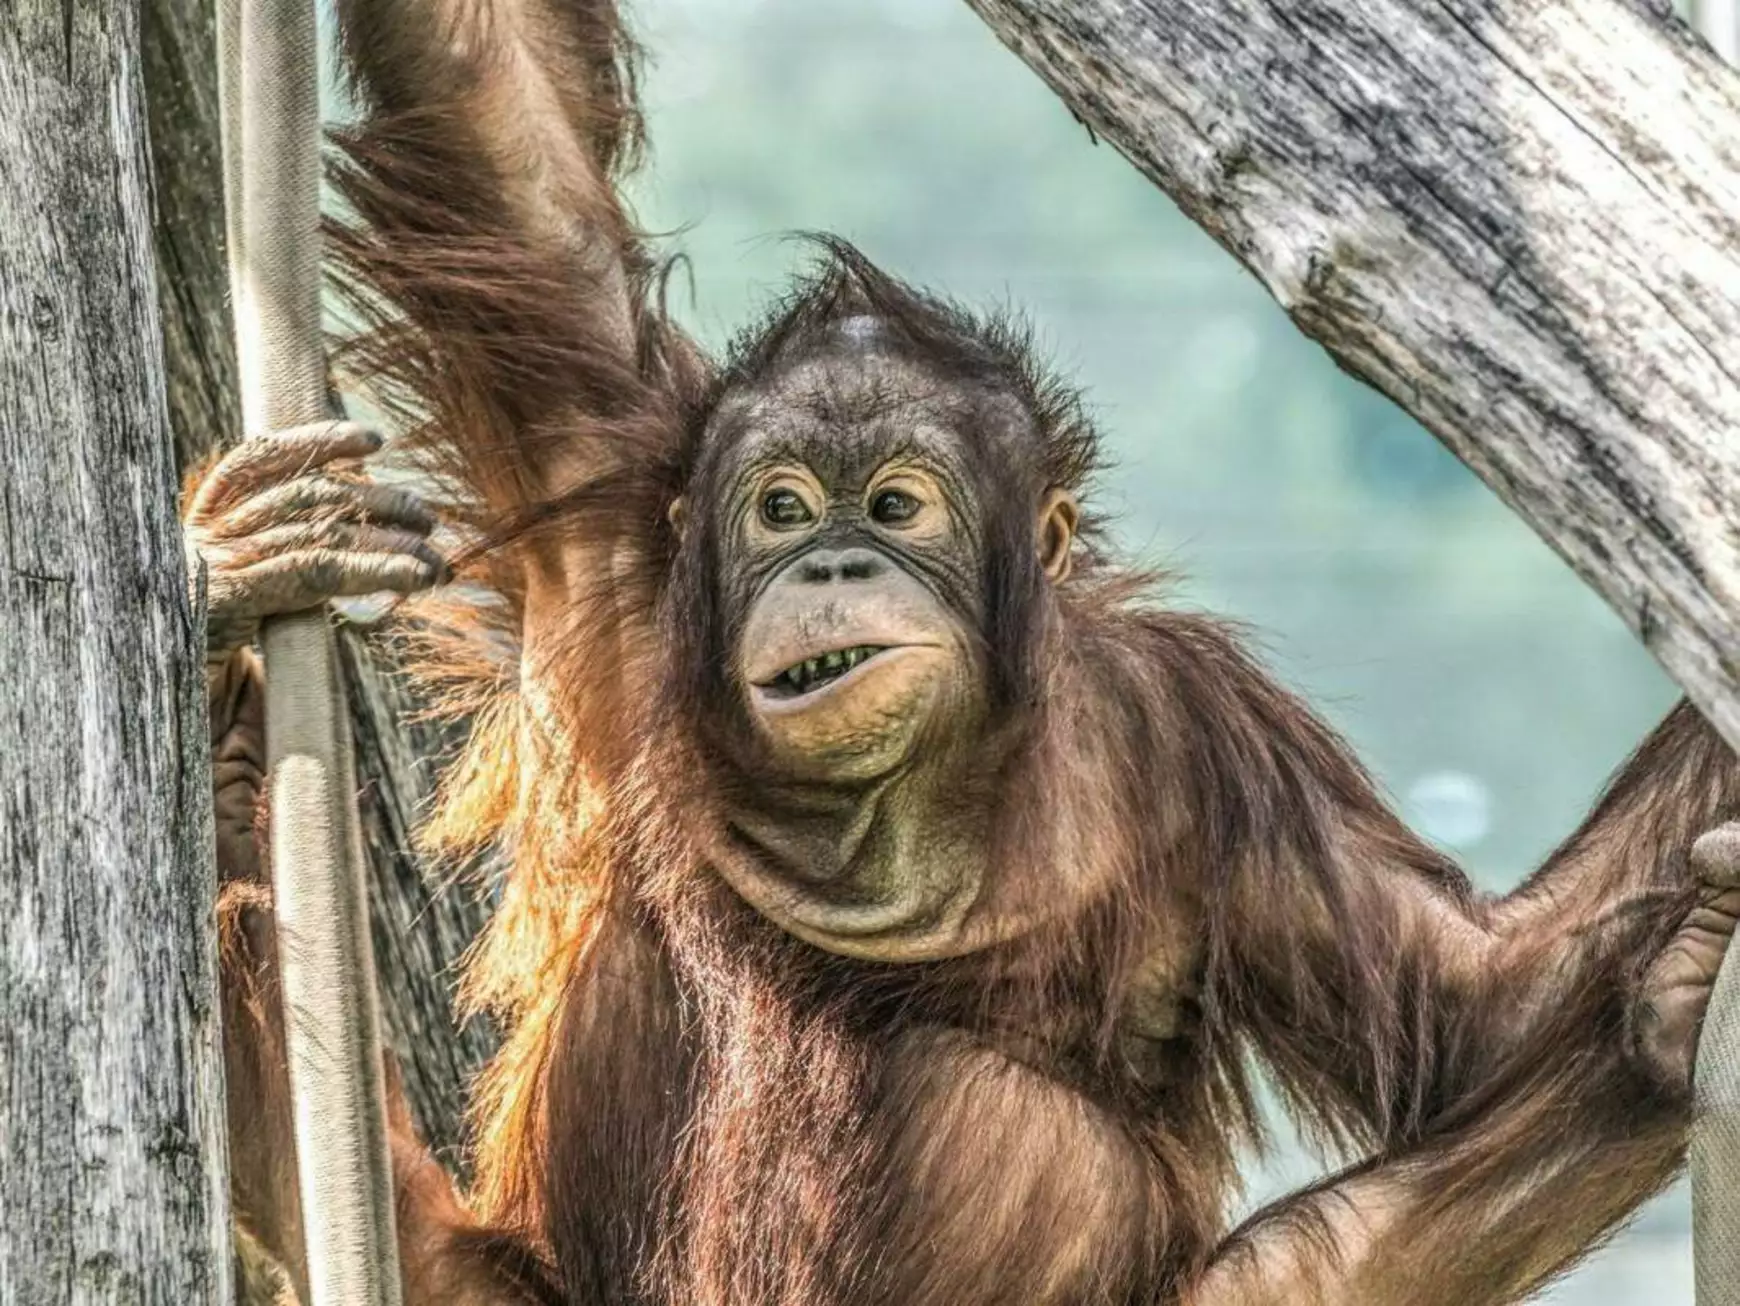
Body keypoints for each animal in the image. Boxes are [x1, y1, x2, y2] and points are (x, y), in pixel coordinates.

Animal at [185, 1, 1740, 1302]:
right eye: (782, 505)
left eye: (895, 504)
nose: (830, 563)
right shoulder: (623, 527)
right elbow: (497, 124)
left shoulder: (1192, 729)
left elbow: (1470, 997)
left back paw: (1663, 1030)